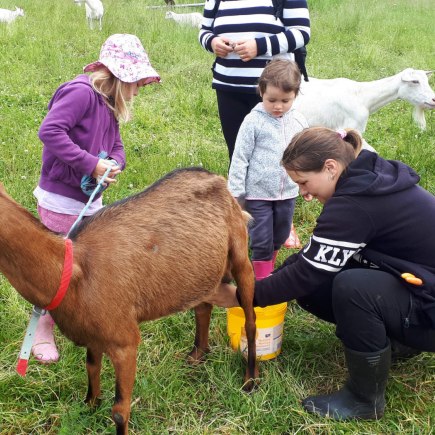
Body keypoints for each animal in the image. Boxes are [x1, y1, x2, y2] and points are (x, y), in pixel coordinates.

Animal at [0, 169, 258, 434]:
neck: (73, 273)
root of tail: (216, 179)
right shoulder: (94, 334)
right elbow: (91, 368)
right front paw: (89, 408)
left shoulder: (125, 341)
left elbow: (120, 410)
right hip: (203, 275)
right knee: (203, 306)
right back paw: (197, 355)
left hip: (240, 254)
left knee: (250, 320)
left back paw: (250, 380)